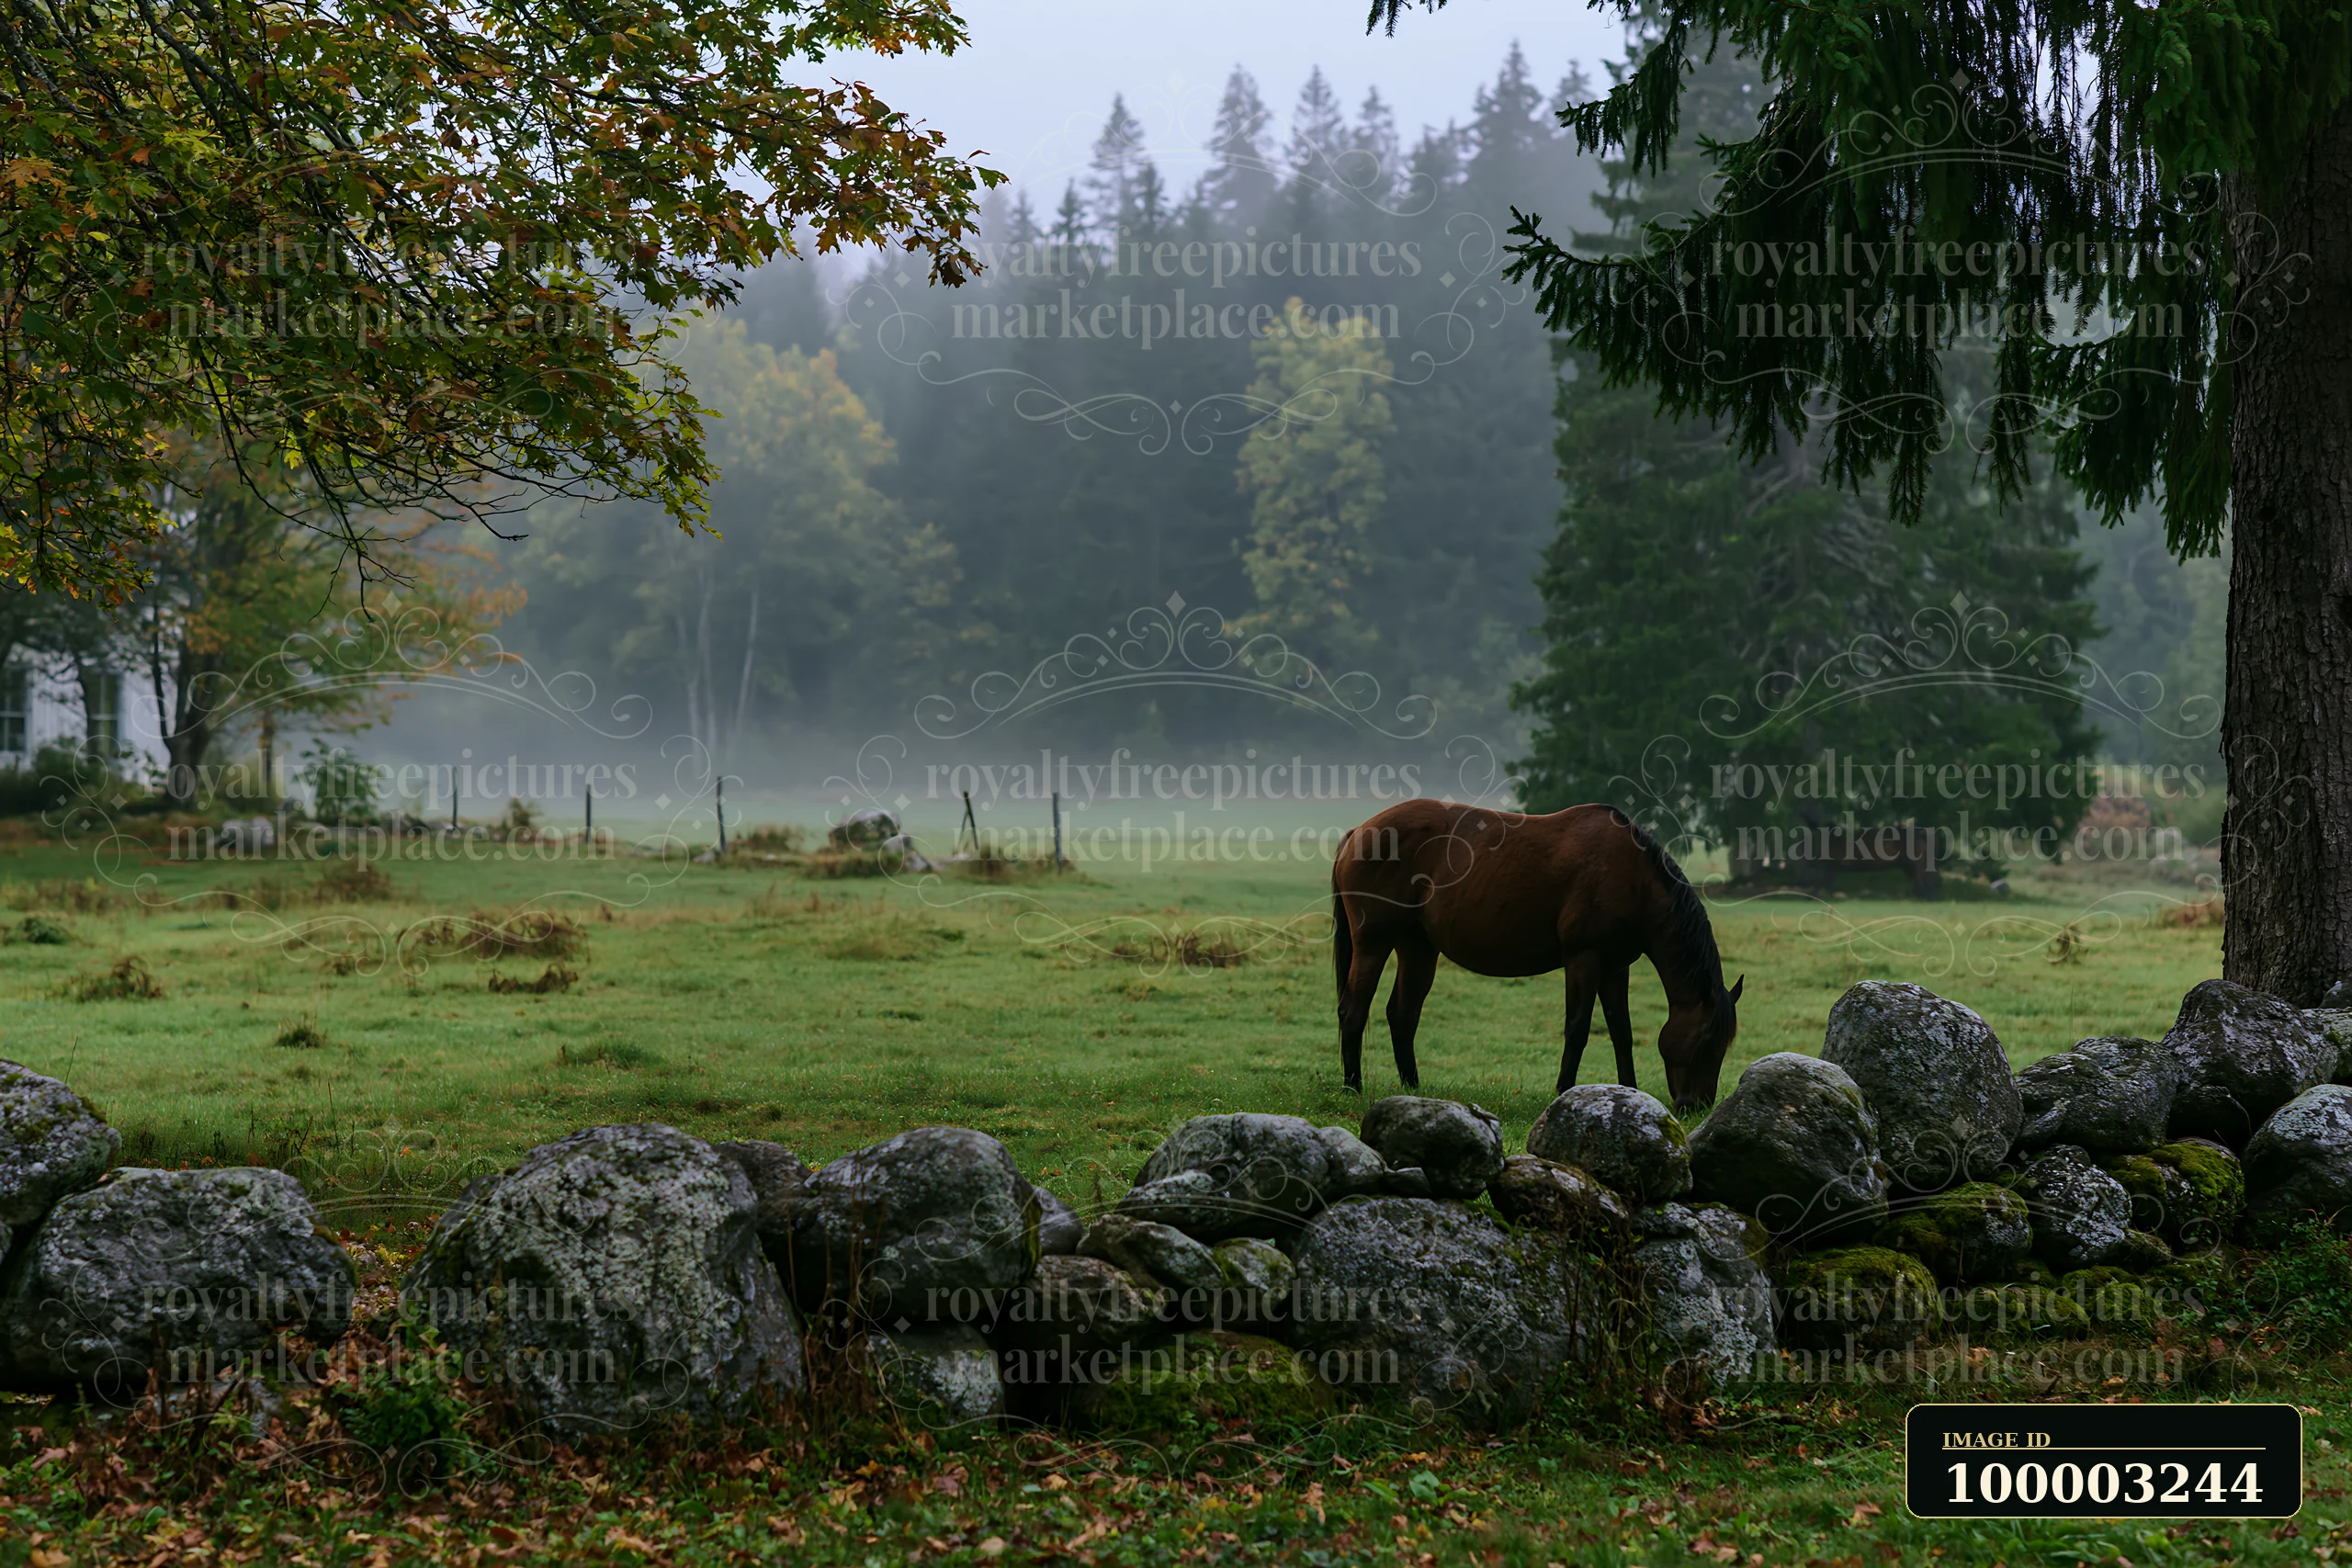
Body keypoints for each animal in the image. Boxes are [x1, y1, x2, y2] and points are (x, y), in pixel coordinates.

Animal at [1330, 799, 1743, 1111]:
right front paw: (1564, 1090)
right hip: (1373, 944)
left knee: (1402, 1015)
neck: (1632, 876)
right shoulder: (1583, 960)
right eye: (1706, 1040)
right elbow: (1577, 1029)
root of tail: (1358, 833)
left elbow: (1621, 1032)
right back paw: (1352, 1086)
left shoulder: (1615, 968)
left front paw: (1630, 1090)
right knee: (1354, 1009)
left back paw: (1413, 1088)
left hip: (1417, 948)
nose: (1697, 1105)